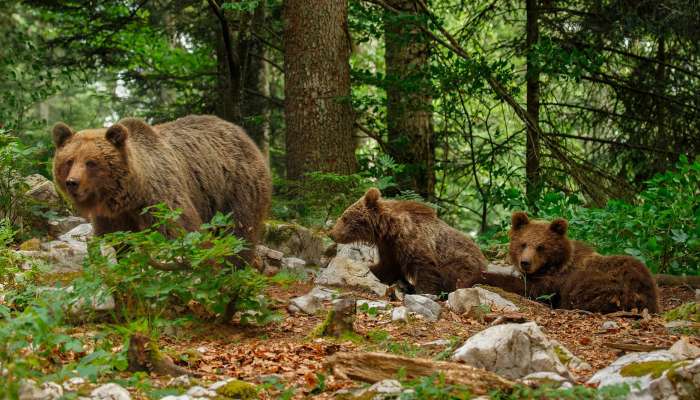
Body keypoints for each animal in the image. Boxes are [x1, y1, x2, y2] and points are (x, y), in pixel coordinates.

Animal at [328, 188, 486, 294]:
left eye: (344, 218)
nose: (332, 234)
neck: (390, 230)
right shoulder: (389, 248)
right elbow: (387, 267)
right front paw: (370, 270)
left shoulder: (413, 243)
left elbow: (426, 269)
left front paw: (423, 291)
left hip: (461, 262)